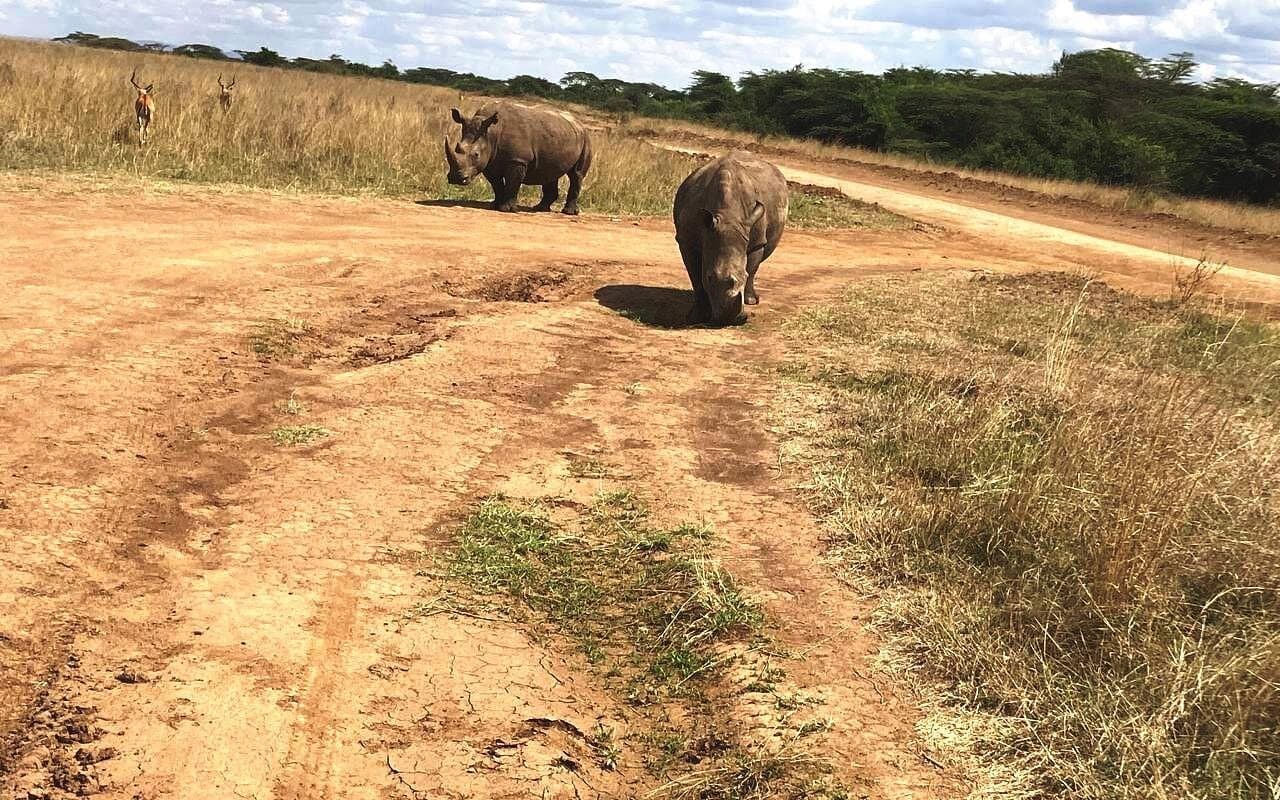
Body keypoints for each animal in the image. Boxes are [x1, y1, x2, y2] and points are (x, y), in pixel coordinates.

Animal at [443, 102, 593, 215]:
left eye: (476, 155)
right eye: (457, 148)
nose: (456, 178)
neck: (491, 133)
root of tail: (579, 123)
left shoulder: (517, 160)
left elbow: (512, 183)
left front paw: (506, 209)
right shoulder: (490, 161)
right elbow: (496, 184)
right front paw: (495, 205)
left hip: (585, 138)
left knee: (576, 175)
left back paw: (568, 212)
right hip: (562, 136)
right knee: (550, 172)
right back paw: (539, 209)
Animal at [673, 152, 789, 326]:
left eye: (744, 276)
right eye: (709, 277)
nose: (729, 320)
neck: (728, 217)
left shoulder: (756, 241)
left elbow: (752, 269)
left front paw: (749, 301)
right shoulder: (686, 241)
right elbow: (696, 278)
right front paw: (695, 317)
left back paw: (752, 301)